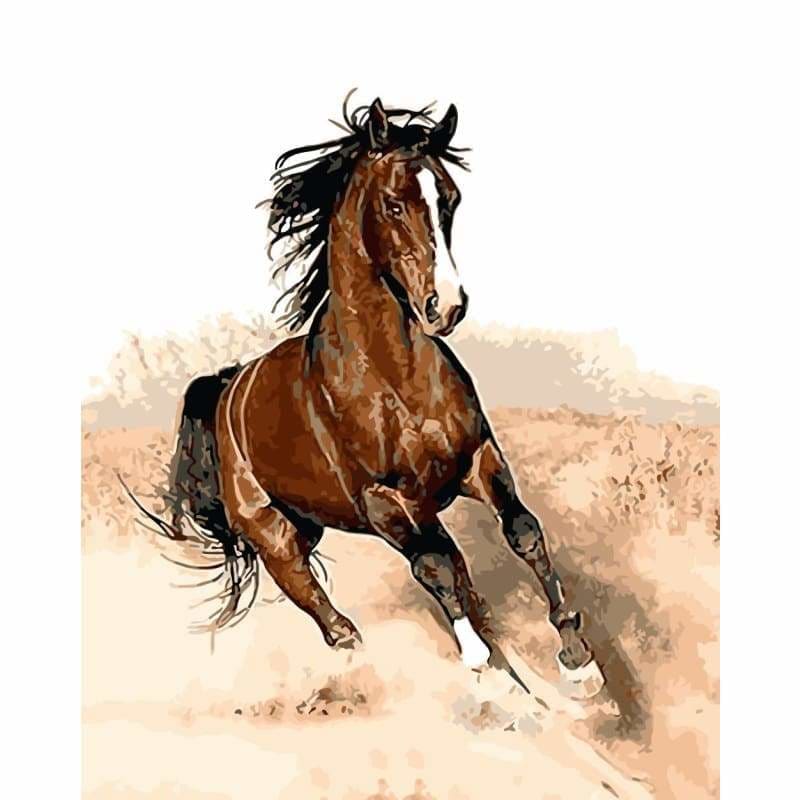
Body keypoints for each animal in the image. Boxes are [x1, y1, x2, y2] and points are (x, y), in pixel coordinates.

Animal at [162, 96, 603, 697]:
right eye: (394, 204)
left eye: (451, 199)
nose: (447, 306)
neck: (393, 381)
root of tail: (229, 388)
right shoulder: (384, 501)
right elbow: (434, 567)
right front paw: (481, 662)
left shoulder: (476, 461)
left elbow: (522, 532)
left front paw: (579, 661)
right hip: (277, 538)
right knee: (329, 615)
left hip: (347, 520)